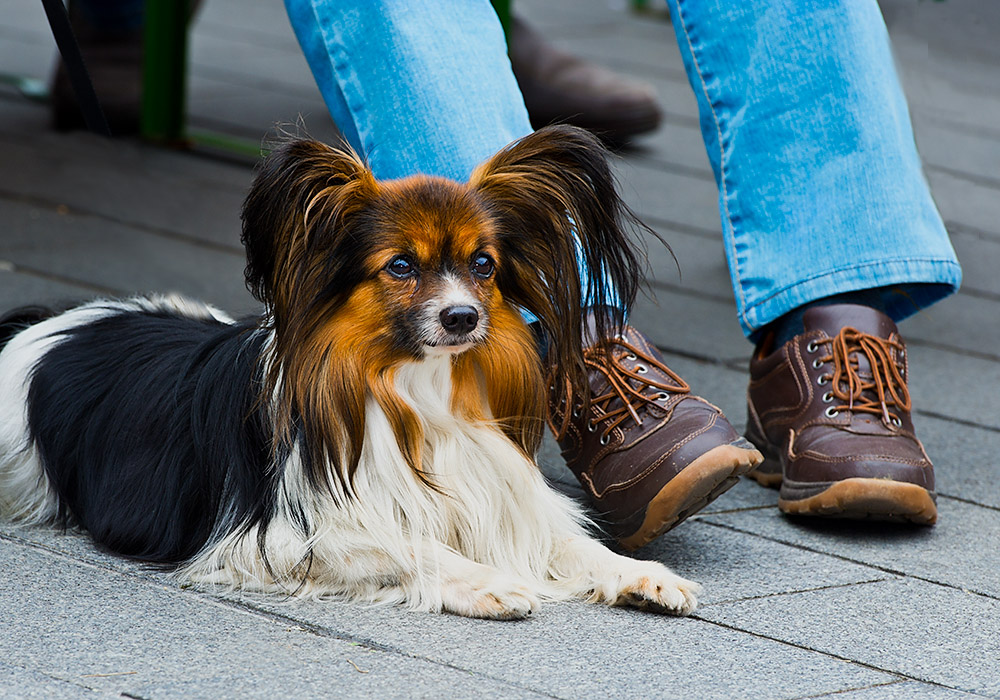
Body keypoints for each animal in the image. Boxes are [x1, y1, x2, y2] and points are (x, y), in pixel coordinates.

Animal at [0, 126, 700, 616]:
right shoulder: (285, 536)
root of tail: (50, 324)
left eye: (483, 265)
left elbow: (573, 543)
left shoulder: (503, 502)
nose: (463, 317)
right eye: (400, 267)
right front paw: (485, 580)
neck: (415, 389)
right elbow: (406, 543)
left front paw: (643, 575)